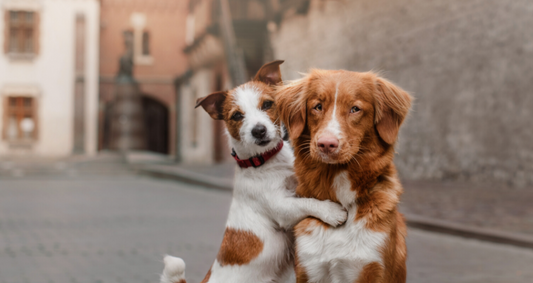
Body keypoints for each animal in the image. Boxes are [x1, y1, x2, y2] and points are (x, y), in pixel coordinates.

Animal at [160, 61, 348, 283]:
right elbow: (306, 203)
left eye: (267, 104)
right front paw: (332, 211)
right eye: (237, 116)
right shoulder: (282, 207)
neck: (265, 161)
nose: (258, 130)